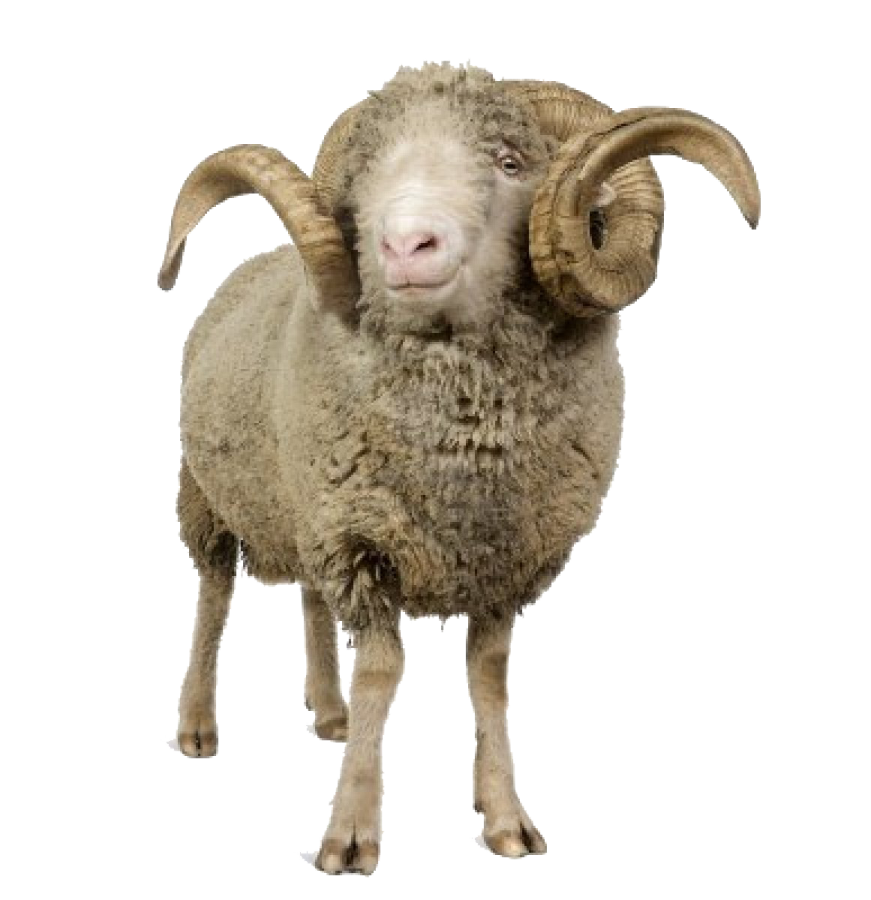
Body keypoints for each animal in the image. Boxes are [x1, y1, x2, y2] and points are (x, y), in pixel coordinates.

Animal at [159, 63, 760, 874]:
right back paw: (197, 725)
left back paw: (328, 711)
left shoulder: (503, 558)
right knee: (215, 594)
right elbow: (382, 674)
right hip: (208, 495)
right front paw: (349, 834)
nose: (405, 244)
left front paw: (505, 819)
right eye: (366, 178)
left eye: (509, 163)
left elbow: (489, 680)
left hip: (302, 498)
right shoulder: (361, 544)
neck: (463, 445)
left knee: (310, 598)